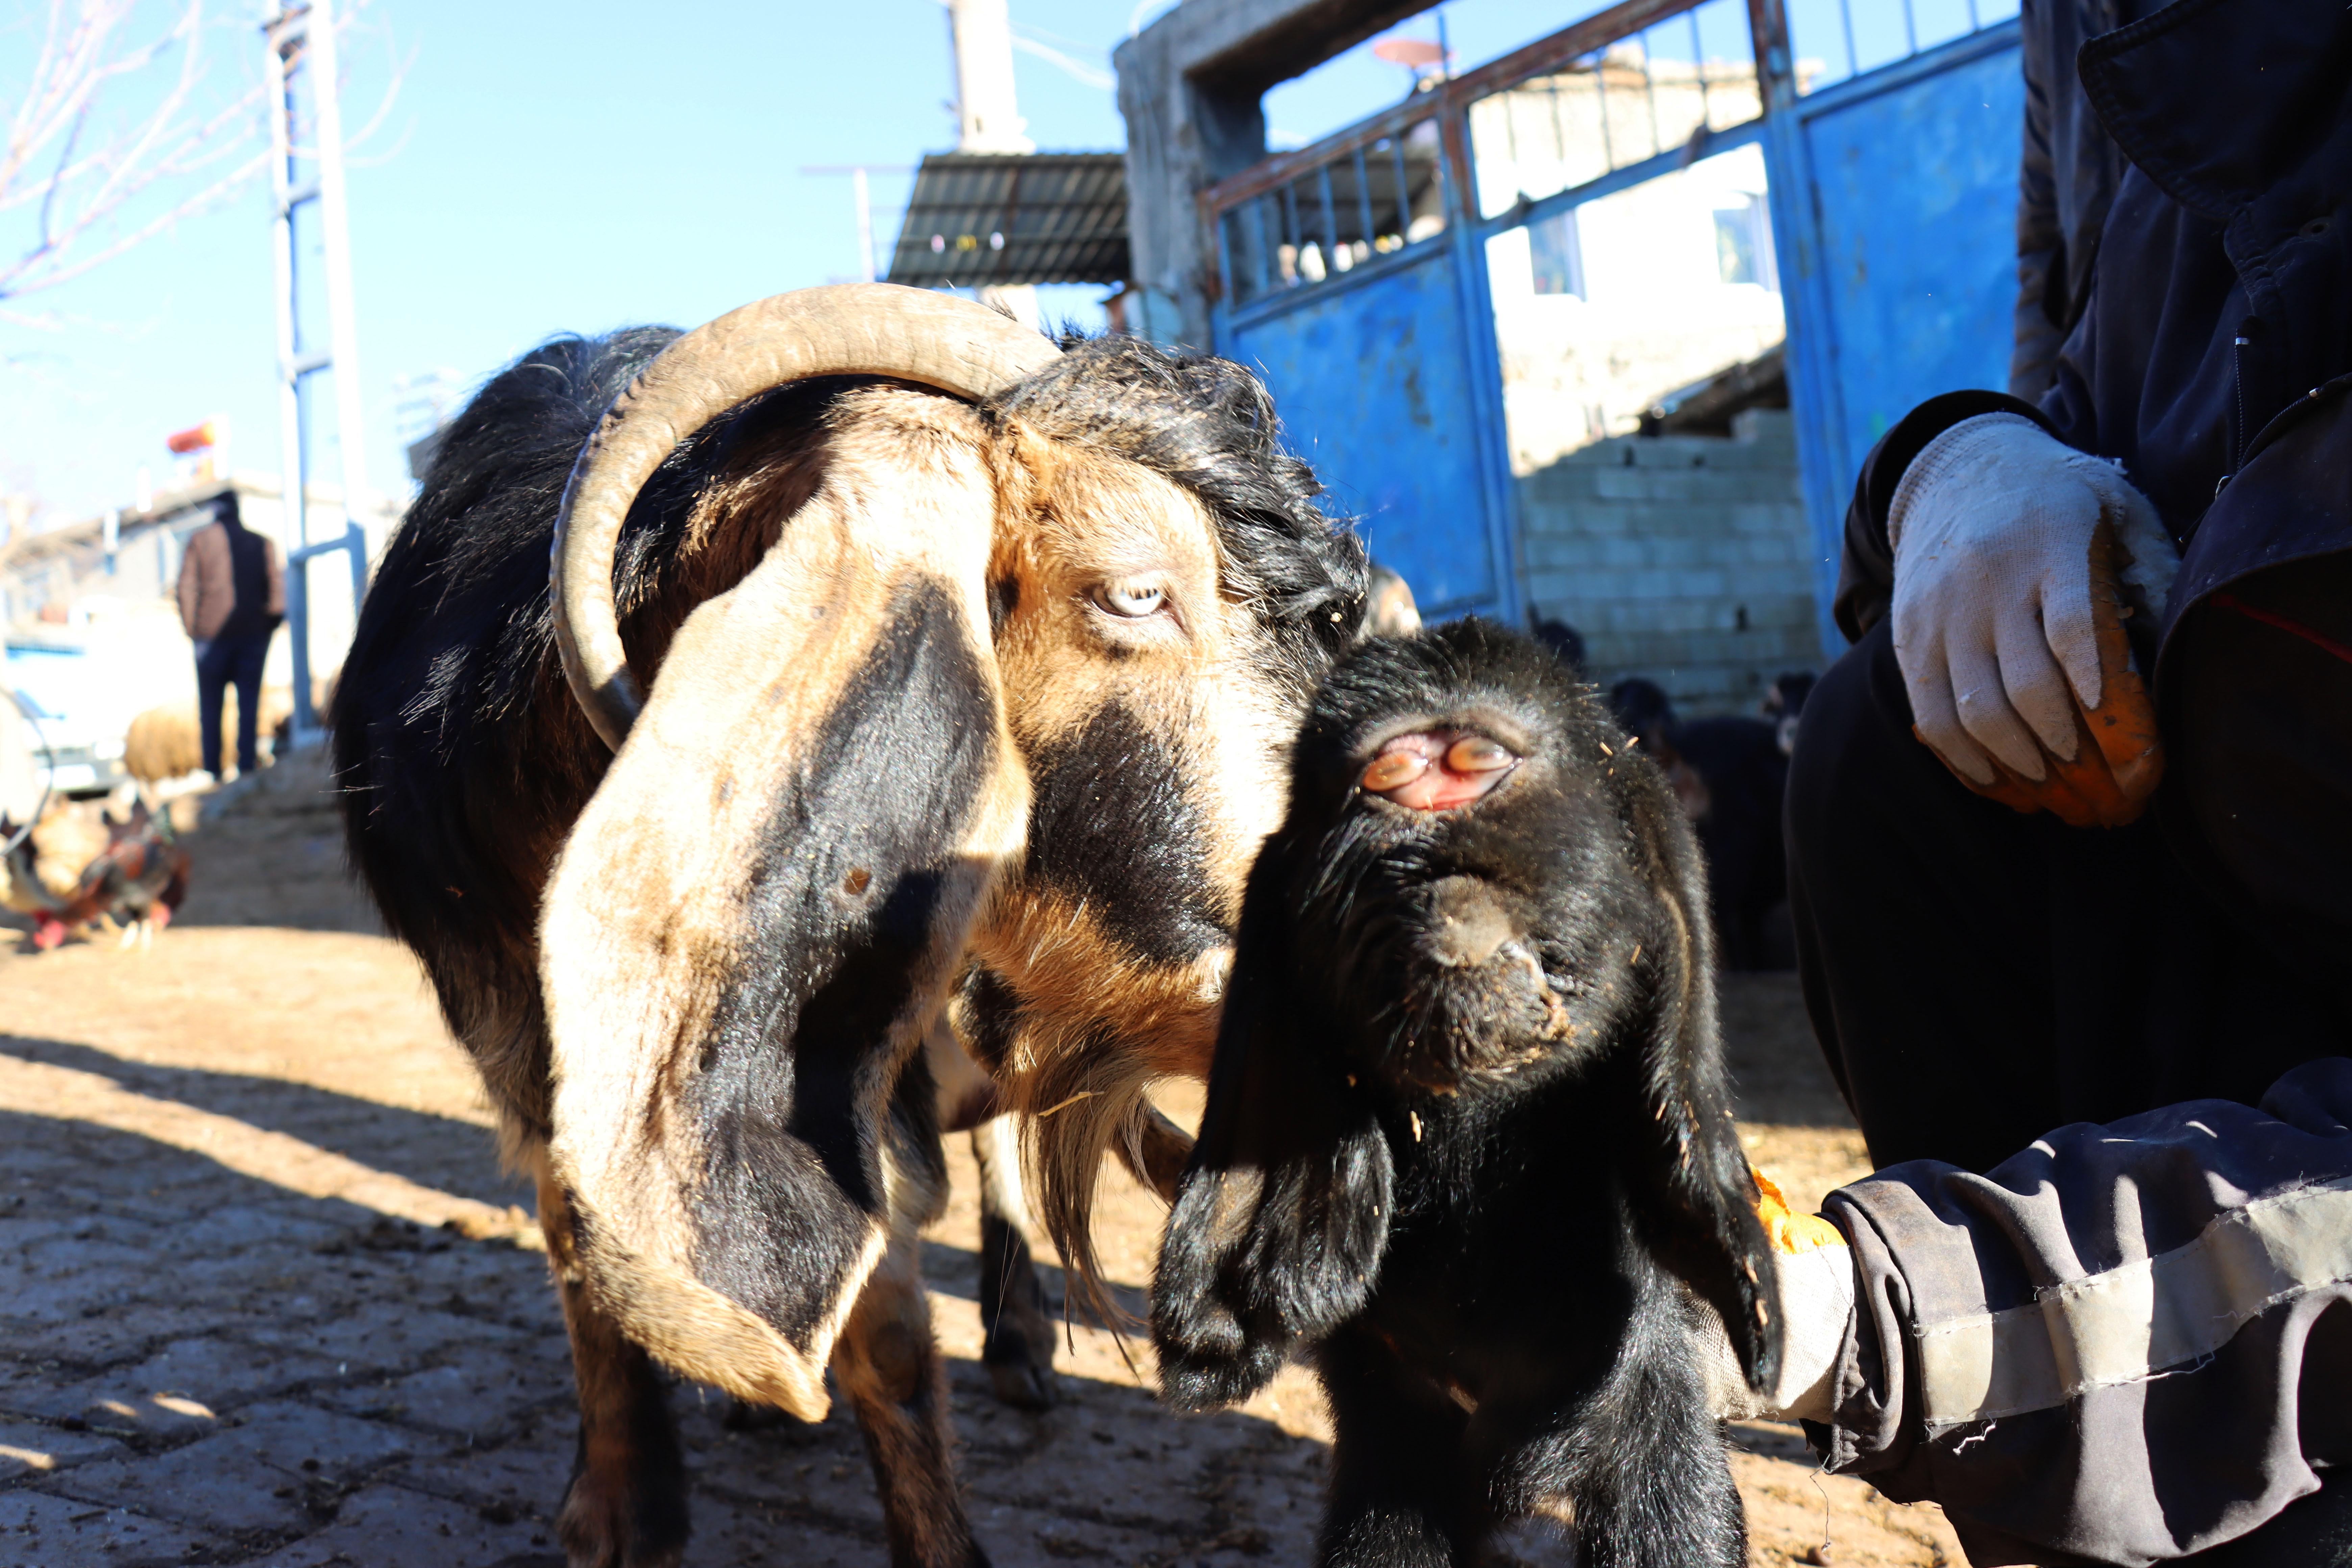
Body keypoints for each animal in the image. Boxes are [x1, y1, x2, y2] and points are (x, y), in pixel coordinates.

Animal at [332, 286, 1364, 1568]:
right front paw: (622, 1504)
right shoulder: (518, 1033)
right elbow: (578, 1228)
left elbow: (893, 1332)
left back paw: (1021, 1339)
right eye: (1134, 590)